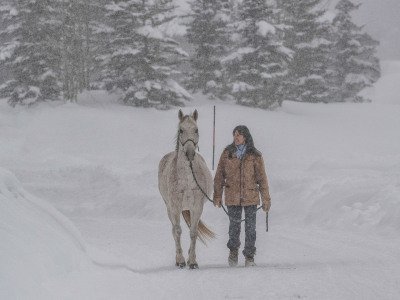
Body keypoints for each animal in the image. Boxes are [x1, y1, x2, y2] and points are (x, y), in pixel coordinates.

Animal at [159, 109, 216, 268]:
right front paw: (181, 260)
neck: (188, 180)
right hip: (168, 208)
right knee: (173, 230)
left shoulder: (196, 207)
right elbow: (178, 231)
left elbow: (193, 232)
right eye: (181, 130)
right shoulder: (175, 207)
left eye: (196, 130)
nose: (190, 153)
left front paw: (193, 261)